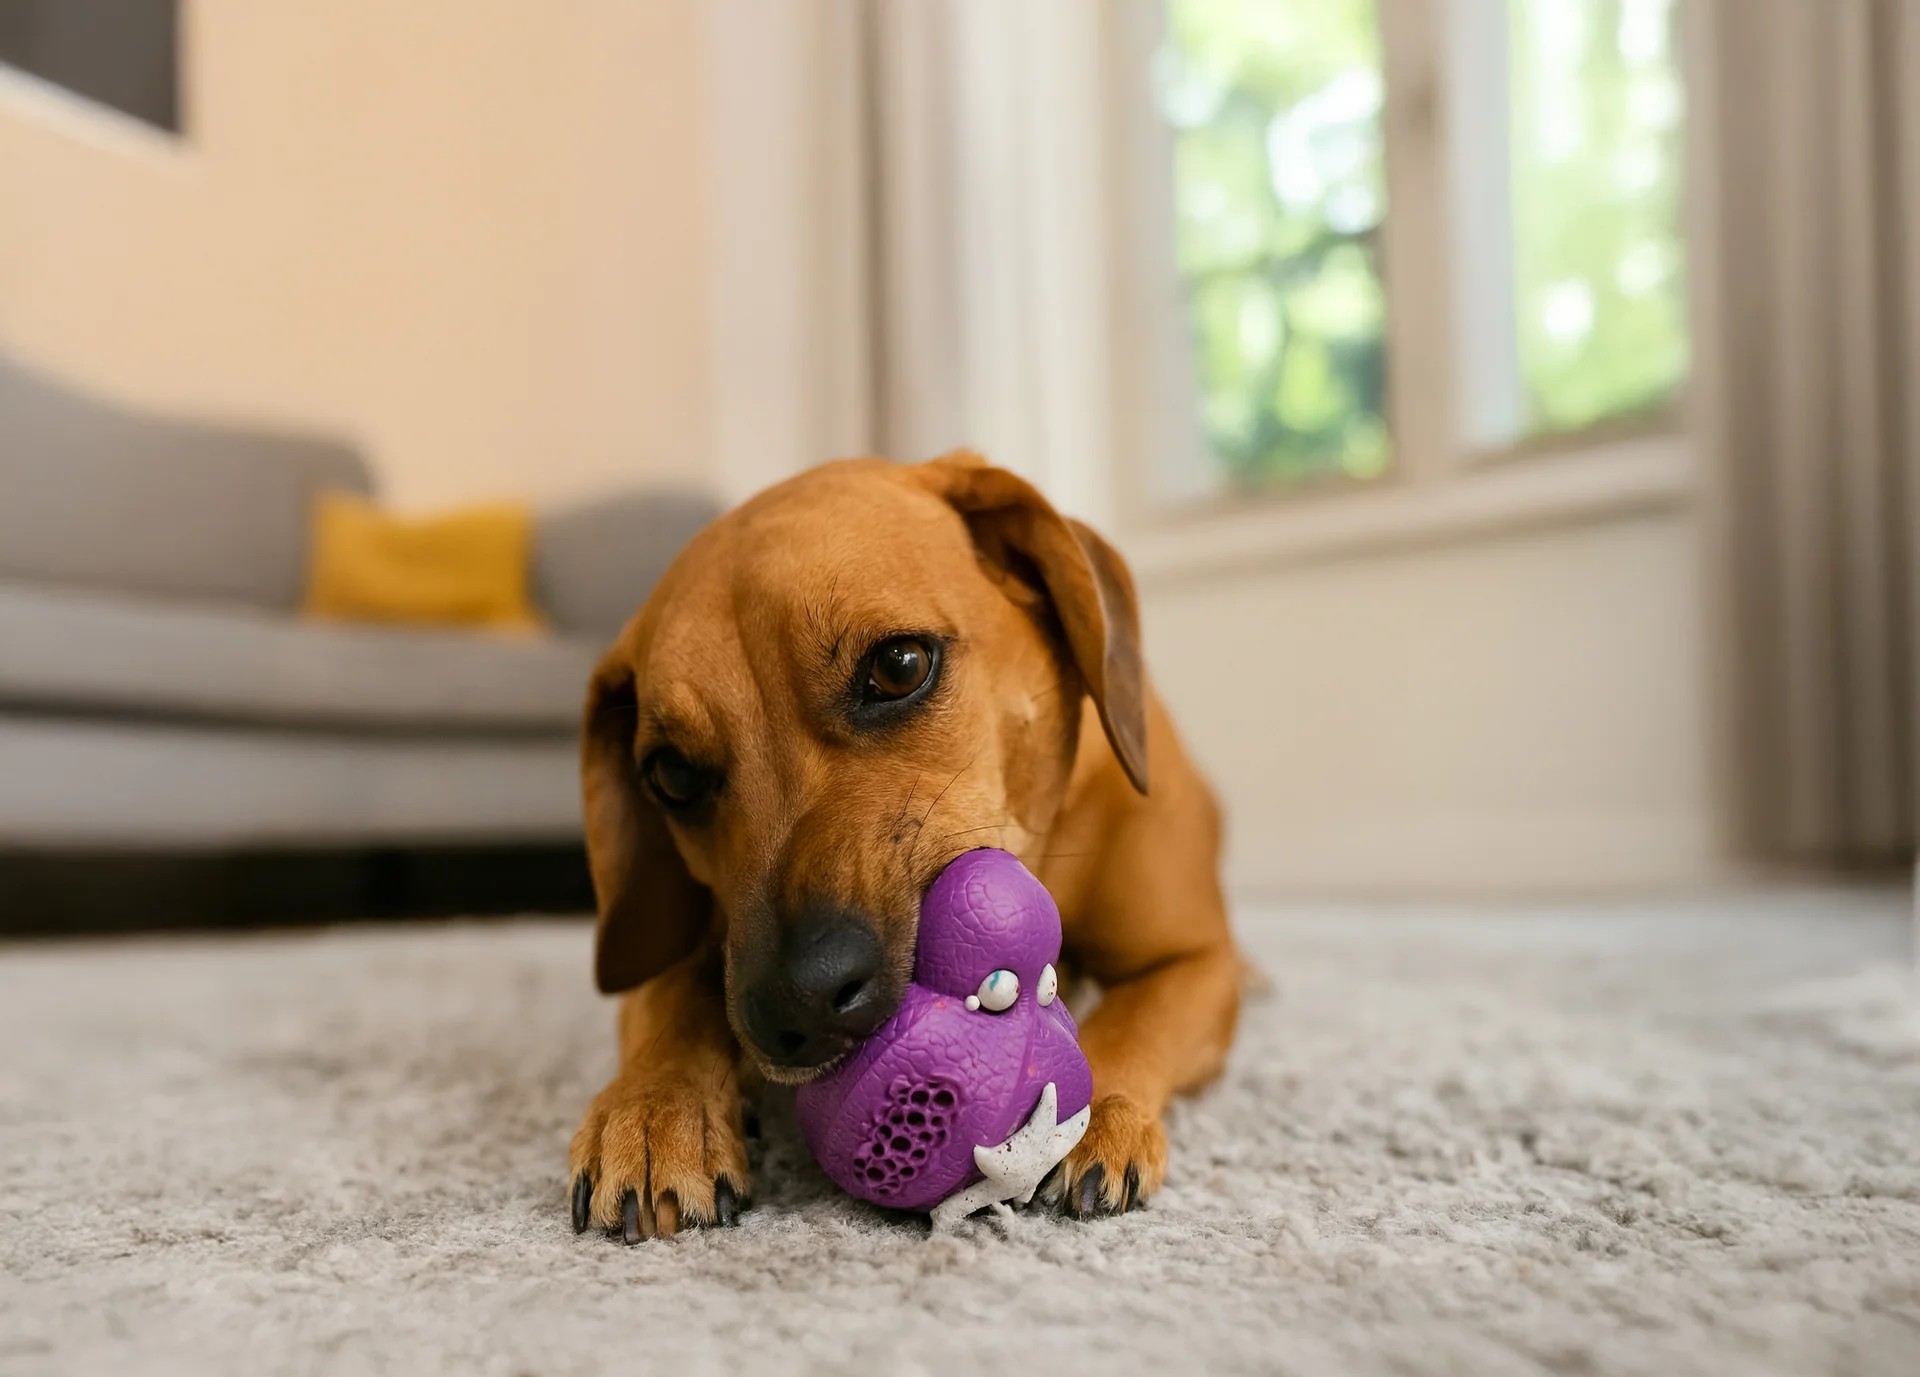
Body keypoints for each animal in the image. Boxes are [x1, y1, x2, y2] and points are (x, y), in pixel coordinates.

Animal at [568, 452, 1239, 1241]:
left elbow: (1134, 1020)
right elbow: (673, 1002)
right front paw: (652, 1111)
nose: (796, 1009)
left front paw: (1095, 1113)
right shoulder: (698, 952)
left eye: (899, 666)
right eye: (671, 774)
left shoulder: (1201, 961)